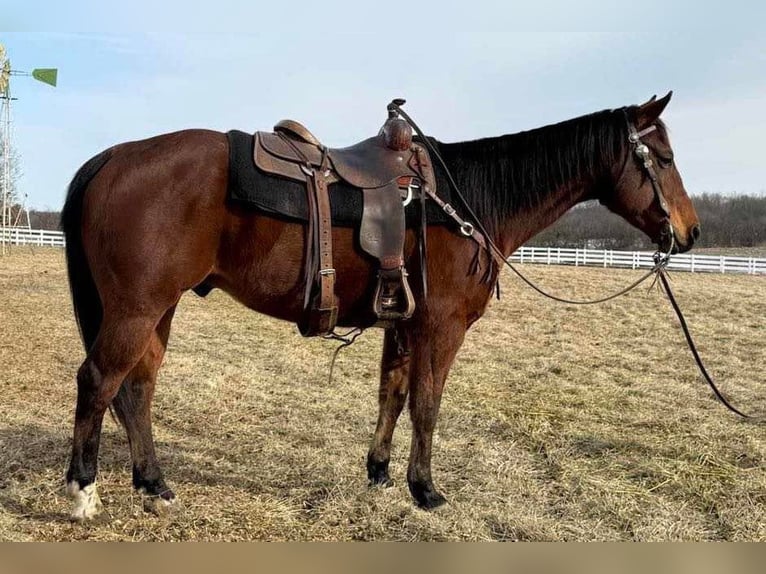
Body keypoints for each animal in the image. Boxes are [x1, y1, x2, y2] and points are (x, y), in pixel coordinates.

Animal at [61, 91, 704, 520]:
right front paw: (426, 489)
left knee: (136, 387)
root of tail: (112, 157)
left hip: (158, 310)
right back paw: (84, 491)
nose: (691, 232)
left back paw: (153, 482)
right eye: (665, 158)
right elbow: (427, 405)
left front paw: (380, 473)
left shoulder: (404, 323)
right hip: (136, 308)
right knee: (98, 380)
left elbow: (392, 396)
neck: (464, 202)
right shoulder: (441, 327)